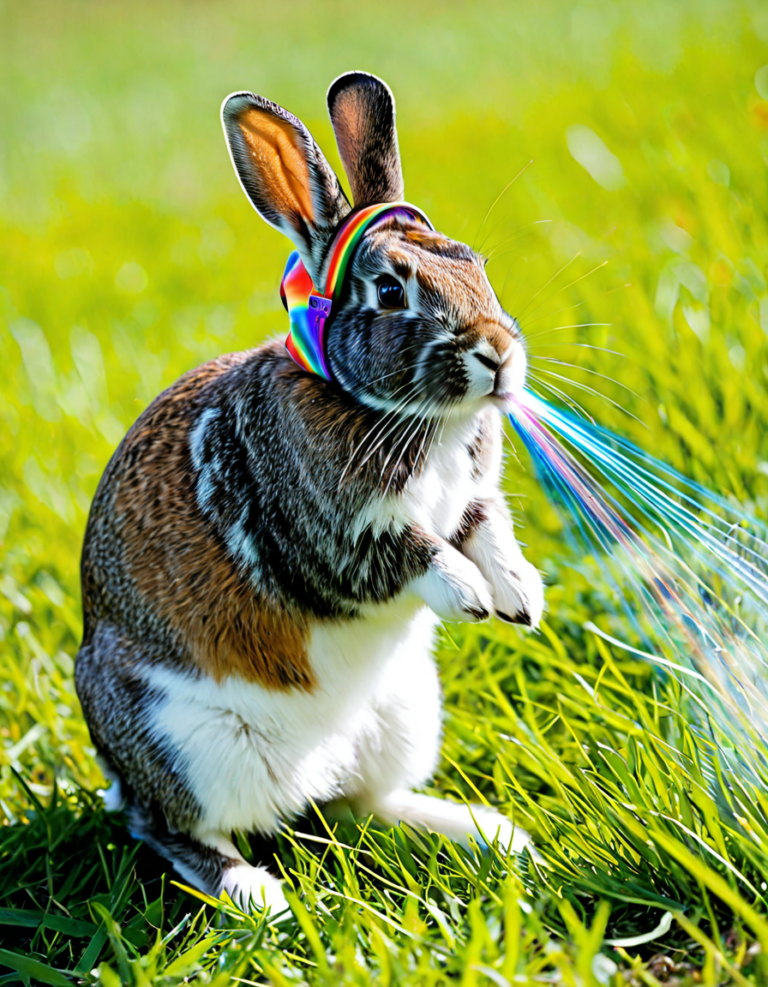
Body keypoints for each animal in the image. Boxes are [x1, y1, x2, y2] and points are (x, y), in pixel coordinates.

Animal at [74, 71, 544, 917]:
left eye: (474, 263)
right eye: (389, 291)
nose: (497, 353)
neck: (396, 409)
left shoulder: (471, 502)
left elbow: (488, 530)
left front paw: (521, 597)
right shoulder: (327, 537)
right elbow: (414, 554)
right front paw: (469, 595)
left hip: (404, 714)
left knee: (363, 801)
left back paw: (488, 833)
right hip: (182, 746)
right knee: (170, 828)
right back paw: (258, 898)